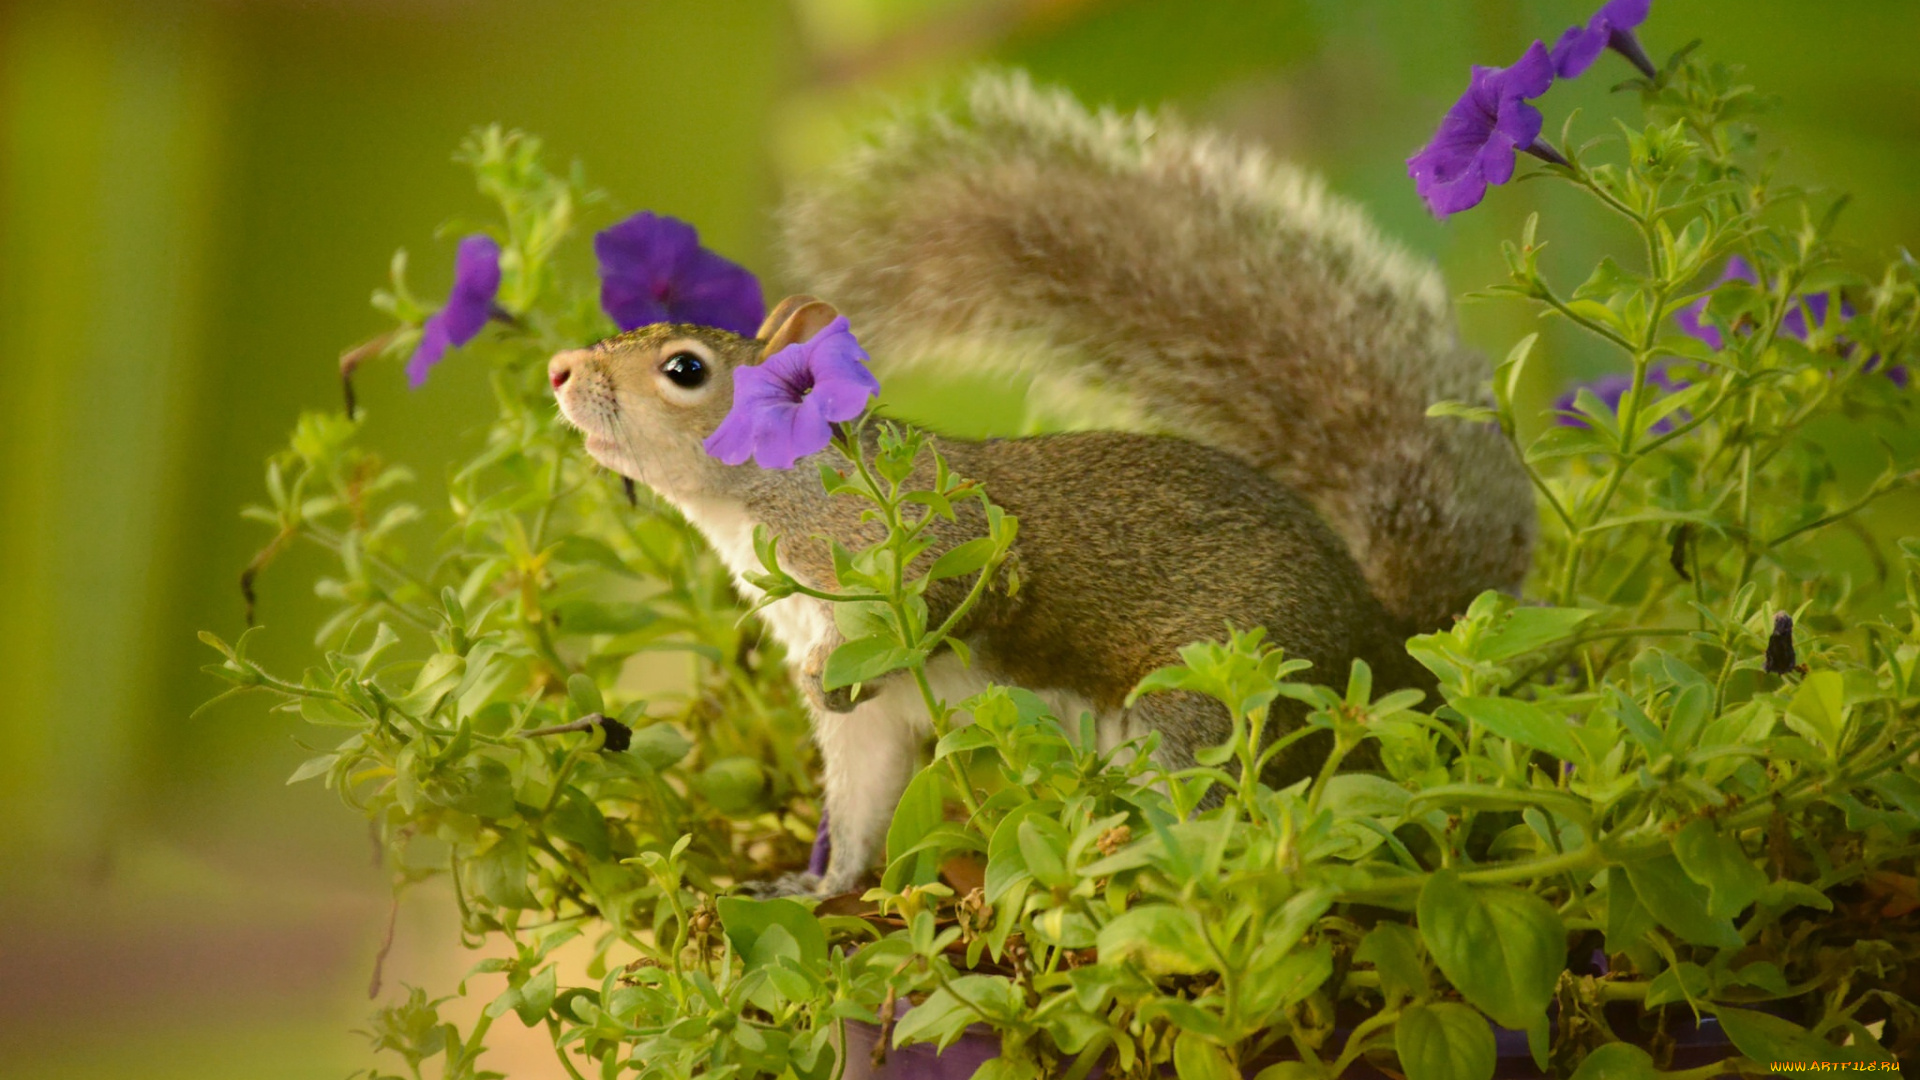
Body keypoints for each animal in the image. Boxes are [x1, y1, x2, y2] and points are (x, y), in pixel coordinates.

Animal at [545, 73, 1528, 891]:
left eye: (684, 369)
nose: (558, 370)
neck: (767, 504)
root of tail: (1394, 652)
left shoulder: (937, 545)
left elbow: (955, 596)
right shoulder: (869, 717)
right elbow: (862, 797)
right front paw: (818, 887)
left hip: (1213, 700)